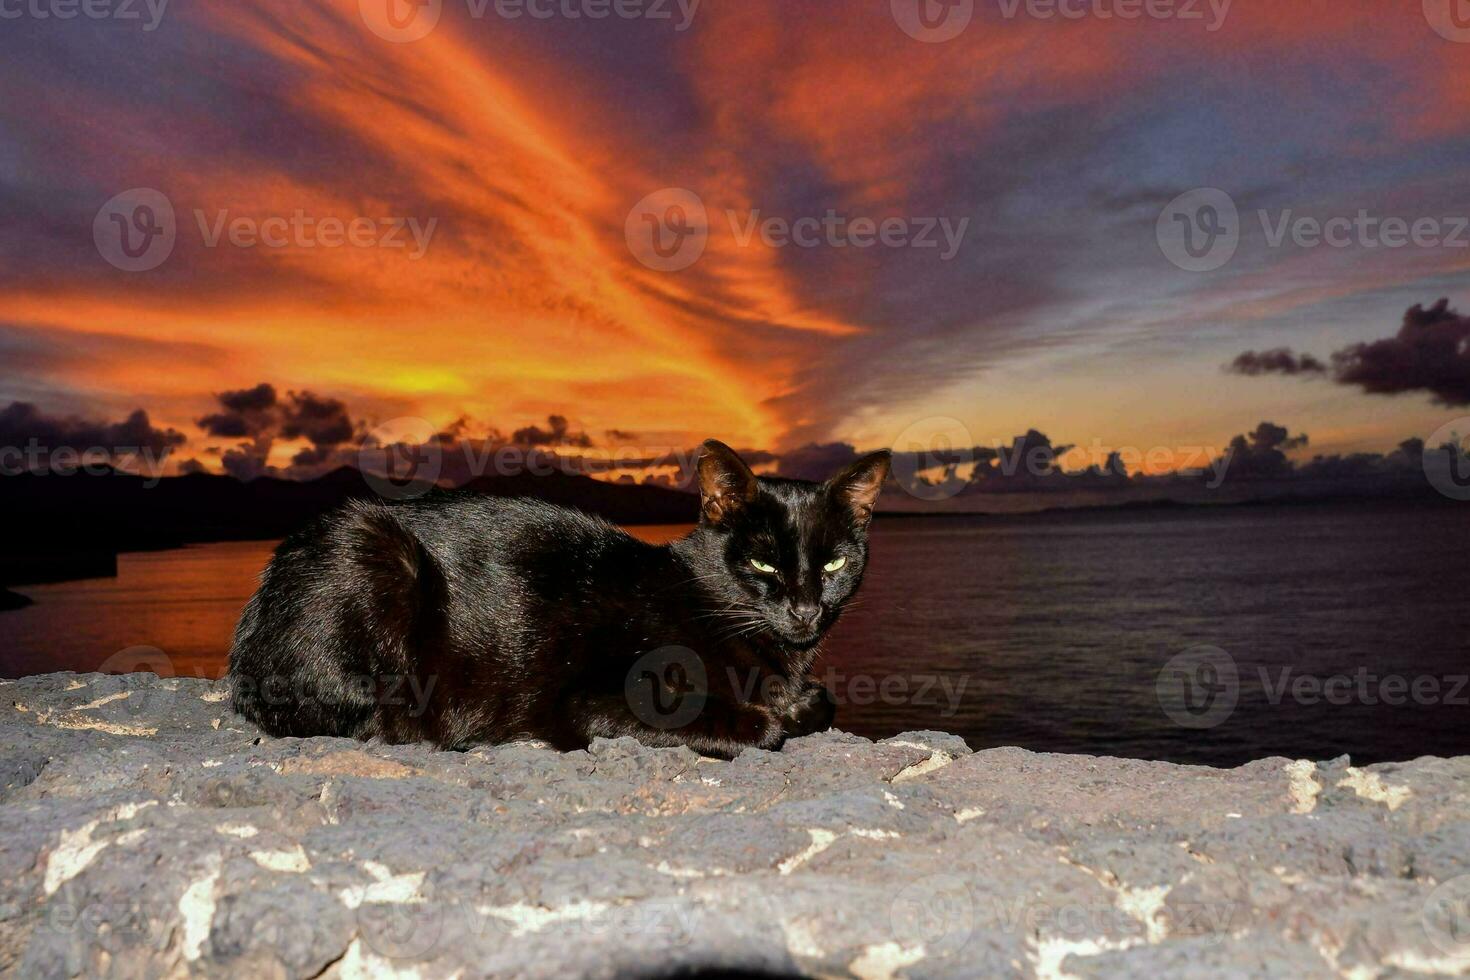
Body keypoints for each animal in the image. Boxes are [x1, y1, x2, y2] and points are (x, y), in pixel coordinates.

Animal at [224, 443, 887, 758]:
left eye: (833, 564)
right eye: (763, 563)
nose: (804, 609)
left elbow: (819, 699)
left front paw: (800, 700)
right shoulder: (597, 702)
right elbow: (763, 726)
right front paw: (781, 713)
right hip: (373, 553)